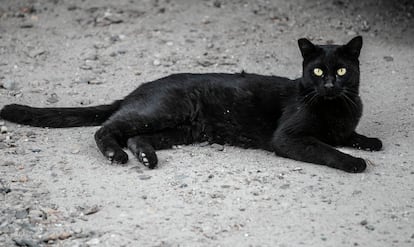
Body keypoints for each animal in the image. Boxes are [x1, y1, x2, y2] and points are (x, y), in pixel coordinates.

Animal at [0, 36, 382, 172]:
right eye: (317, 71)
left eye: (342, 70)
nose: (330, 85)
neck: (337, 106)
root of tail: (139, 88)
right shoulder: (289, 138)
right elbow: (326, 149)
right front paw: (354, 161)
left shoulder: (343, 125)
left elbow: (347, 136)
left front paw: (369, 141)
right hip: (164, 110)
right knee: (107, 128)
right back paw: (116, 155)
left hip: (180, 130)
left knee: (136, 136)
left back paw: (145, 157)